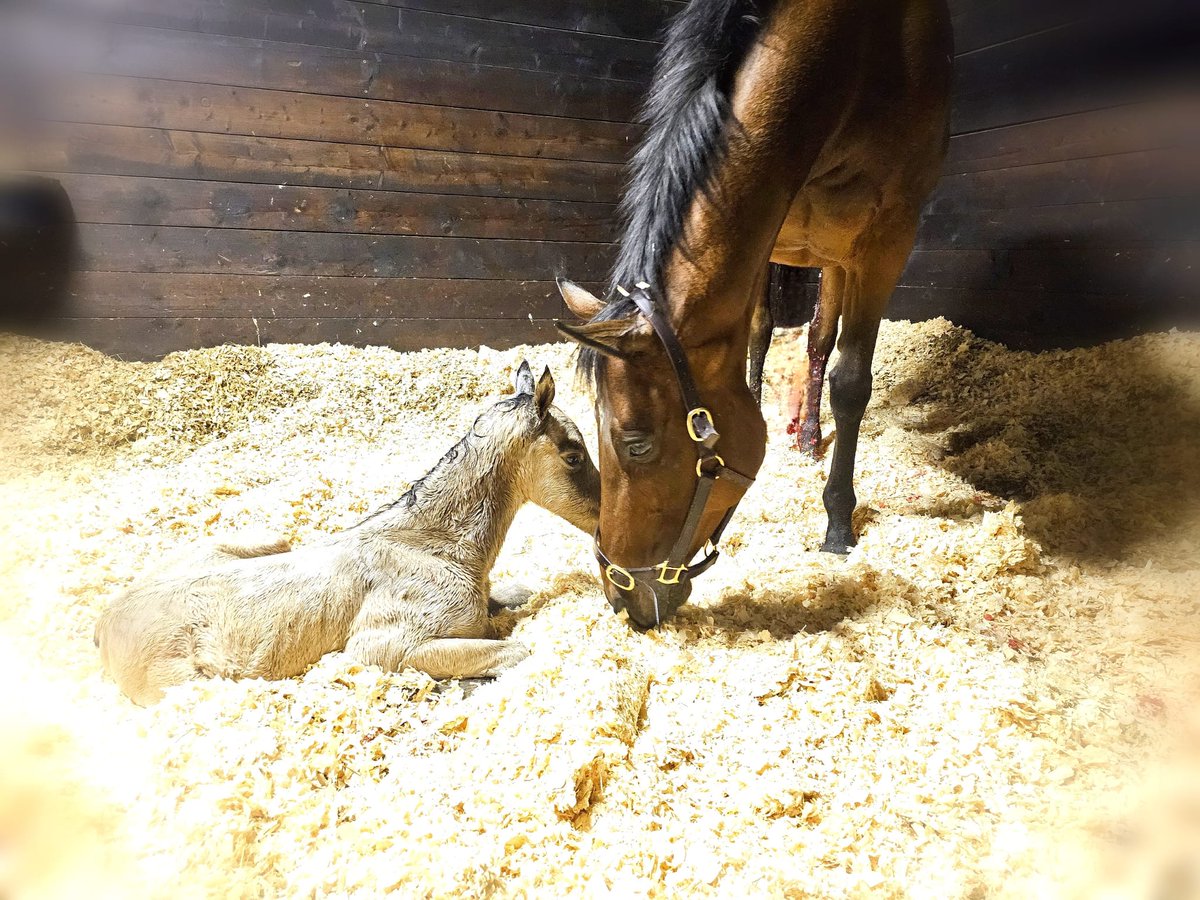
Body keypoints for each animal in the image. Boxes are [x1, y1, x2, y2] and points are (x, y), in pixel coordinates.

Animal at [94, 362, 600, 705]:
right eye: (574, 455)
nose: (604, 520)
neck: (437, 549)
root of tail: (106, 620)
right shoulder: (379, 648)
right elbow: (516, 649)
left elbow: (514, 598)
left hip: (266, 538)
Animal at [553, 0, 952, 628]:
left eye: (636, 444)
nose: (620, 596)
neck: (858, 54)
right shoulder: (768, 238)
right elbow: (762, 341)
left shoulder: (885, 243)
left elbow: (849, 379)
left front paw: (838, 523)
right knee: (774, 337)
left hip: (839, 256)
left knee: (820, 345)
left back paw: (810, 438)